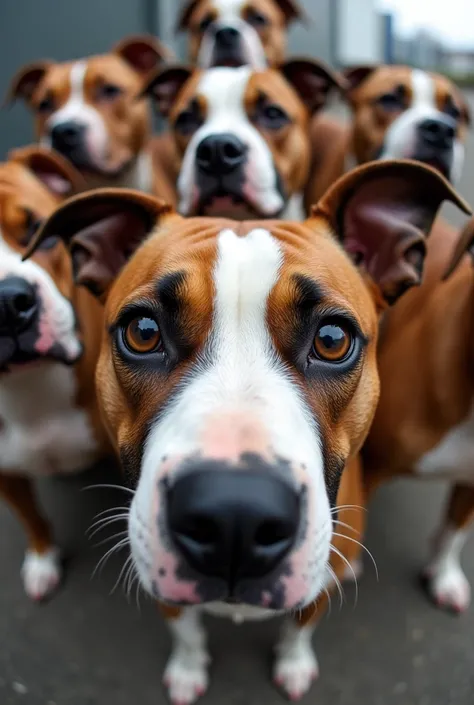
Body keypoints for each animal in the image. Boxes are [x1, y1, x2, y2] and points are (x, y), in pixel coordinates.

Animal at [25, 157, 466, 700]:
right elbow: (186, 631)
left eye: (333, 339)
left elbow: (300, 626)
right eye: (143, 332)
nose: (233, 516)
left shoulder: (320, 576)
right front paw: (188, 671)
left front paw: (294, 665)